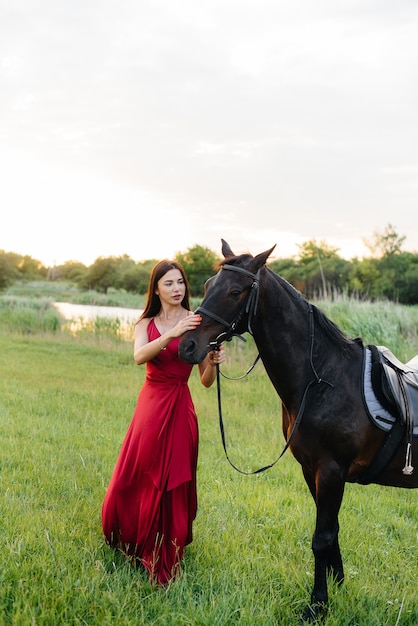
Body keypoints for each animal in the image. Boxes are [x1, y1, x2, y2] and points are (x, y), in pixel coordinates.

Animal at [178, 238, 416, 620]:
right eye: (207, 285)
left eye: (234, 291)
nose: (188, 346)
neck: (324, 379)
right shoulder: (311, 469)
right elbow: (332, 531)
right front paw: (337, 585)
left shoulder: (331, 470)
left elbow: (321, 538)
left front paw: (318, 605)